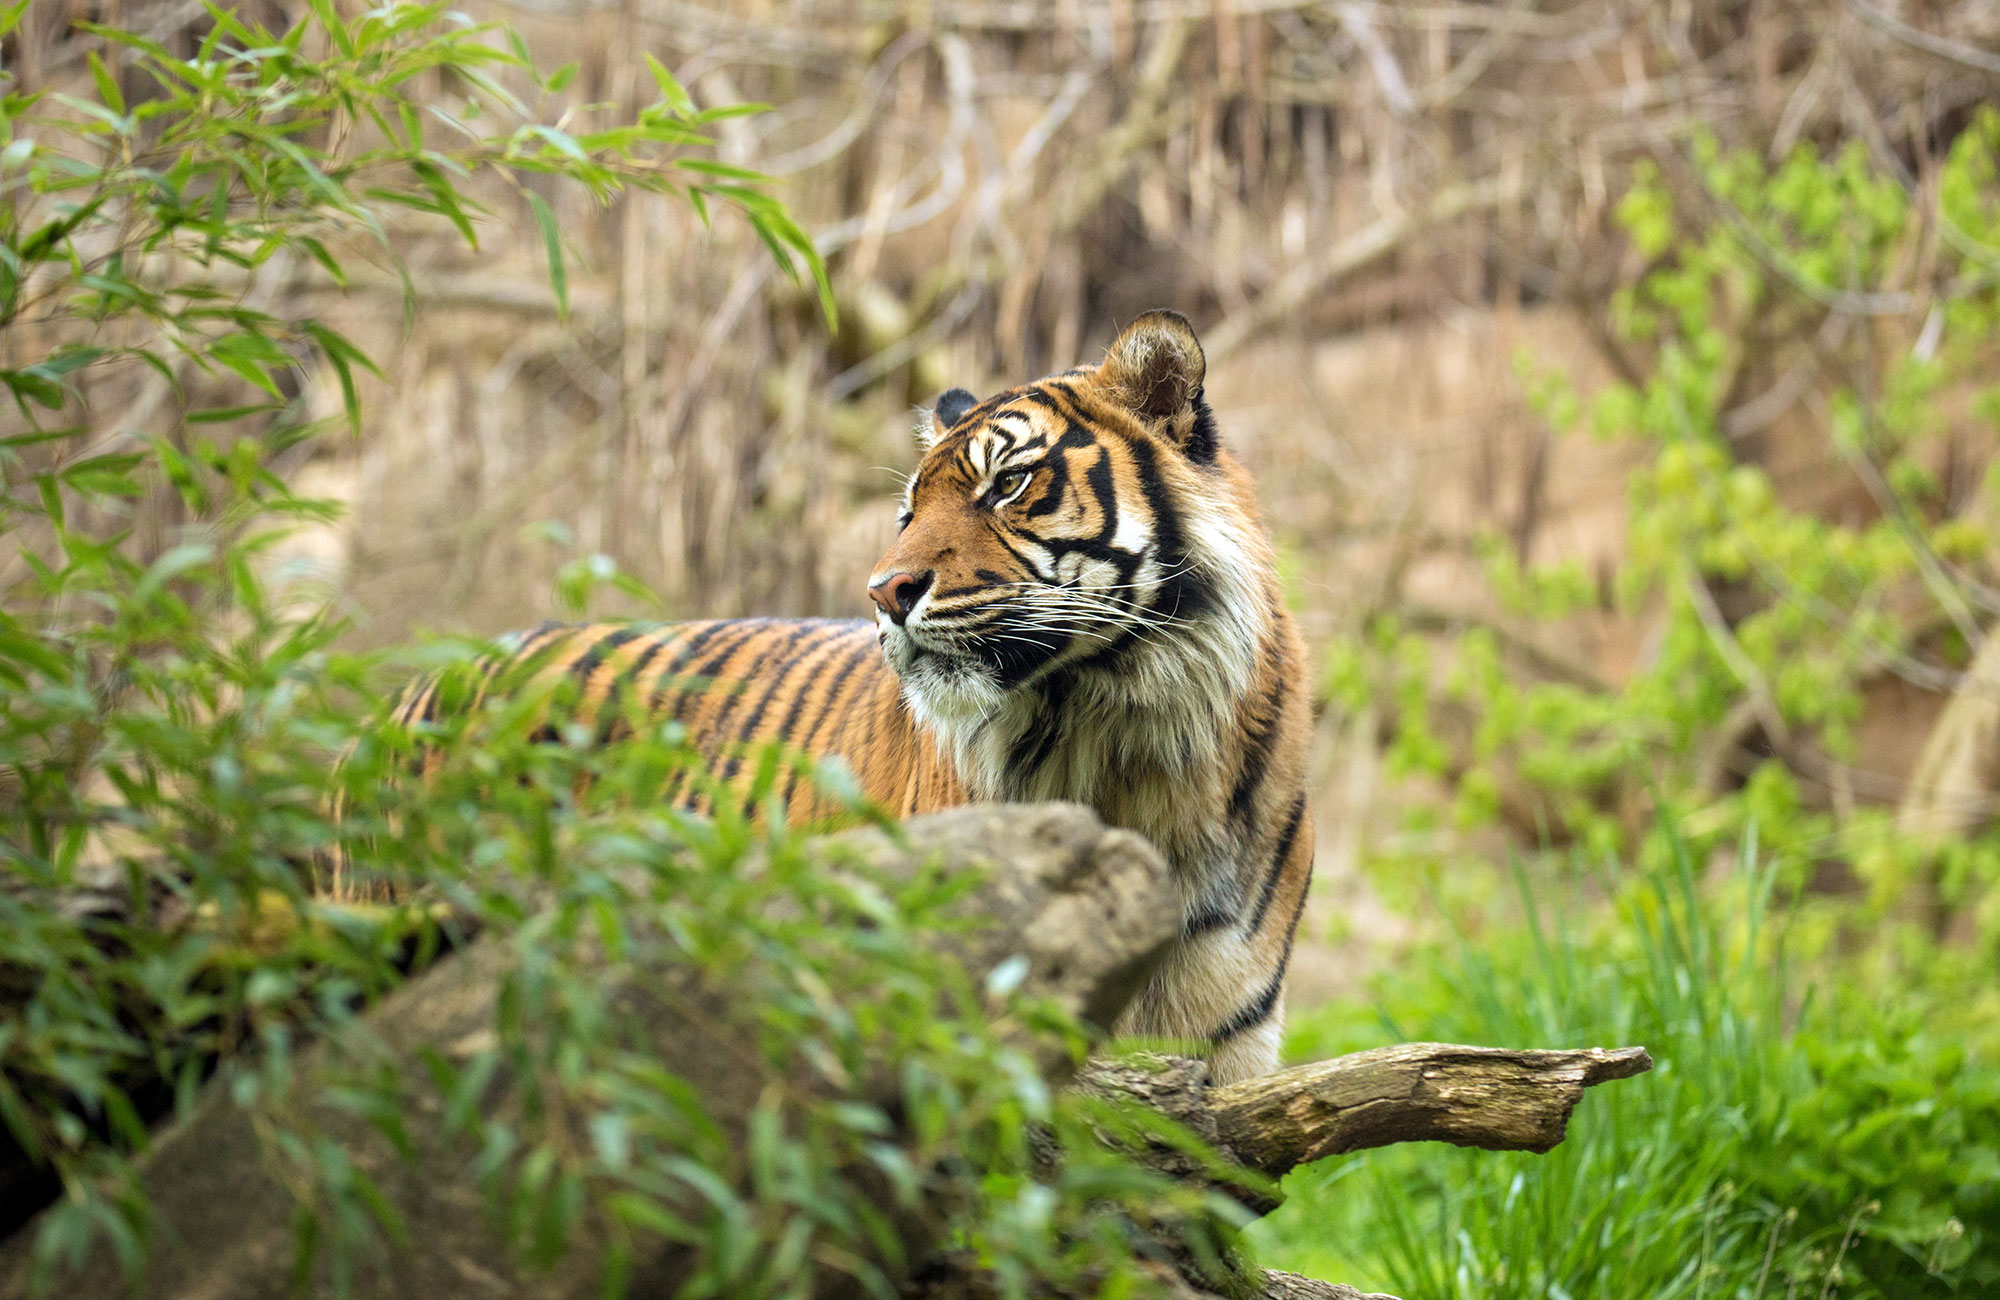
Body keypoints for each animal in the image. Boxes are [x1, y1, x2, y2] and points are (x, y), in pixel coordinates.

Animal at [335, 310, 1313, 1084]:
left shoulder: (1231, 1053)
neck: (1125, 738)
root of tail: (404, 695)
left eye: (1008, 484)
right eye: (910, 511)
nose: (884, 591)